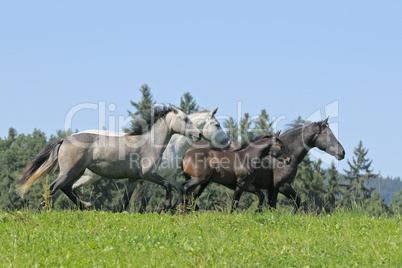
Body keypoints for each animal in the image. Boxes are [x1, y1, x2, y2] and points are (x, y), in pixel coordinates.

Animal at [18, 103, 201, 213]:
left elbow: (126, 200)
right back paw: (40, 211)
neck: (149, 143)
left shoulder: (133, 179)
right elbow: (167, 185)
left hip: (77, 171)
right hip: (70, 171)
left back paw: (85, 206)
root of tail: (65, 139)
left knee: (66, 188)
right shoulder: (148, 174)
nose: (198, 134)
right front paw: (166, 206)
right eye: (185, 119)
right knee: (54, 188)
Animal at [187, 118, 344, 213]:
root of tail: (189, 151)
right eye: (327, 134)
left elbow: (272, 206)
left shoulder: (272, 188)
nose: (342, 153)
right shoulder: (282, 185)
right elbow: (297, 201)